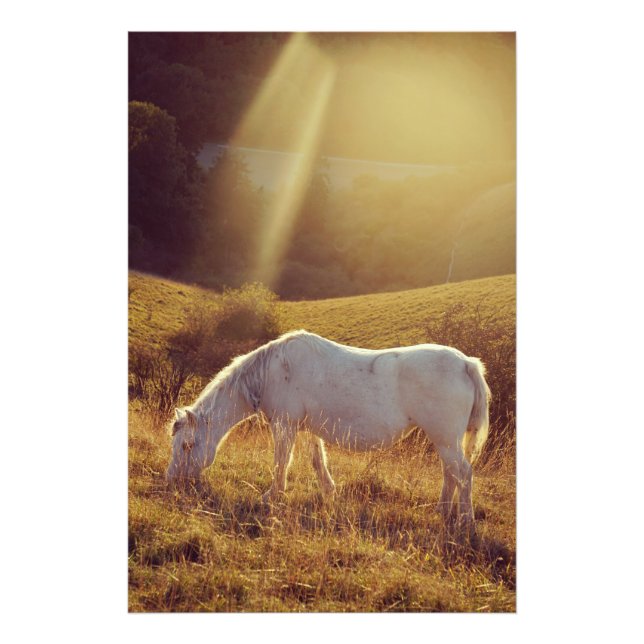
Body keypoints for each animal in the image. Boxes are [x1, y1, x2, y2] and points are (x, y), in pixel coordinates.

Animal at [166, 330, 491, 525]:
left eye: (187, 445)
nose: (172, 482)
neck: (273, 371)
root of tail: (466, 363)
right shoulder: (307, 428)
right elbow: (316, 460)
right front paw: (328, 493)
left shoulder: (285, 425)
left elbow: (281, 462)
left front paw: (272, 496)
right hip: (446, 441)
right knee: (450, 473)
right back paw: (442, 511)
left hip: (445, 440)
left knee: (463, 474)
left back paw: (465, 521)